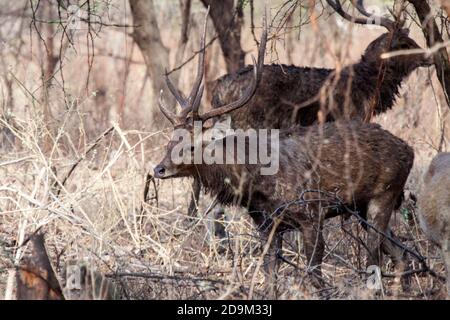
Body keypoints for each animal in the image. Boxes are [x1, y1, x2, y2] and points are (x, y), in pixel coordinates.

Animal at [155, 9, 414, 296]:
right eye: (170, 141)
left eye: (191, 145)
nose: (159, 169)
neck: (257, 182)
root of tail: (409, 150)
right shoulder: (267, 225)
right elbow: (270, 279)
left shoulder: (312, 213)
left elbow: (314, 276)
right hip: (363, 210)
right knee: (402, 256)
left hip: (384, 196)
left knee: (375, 262)